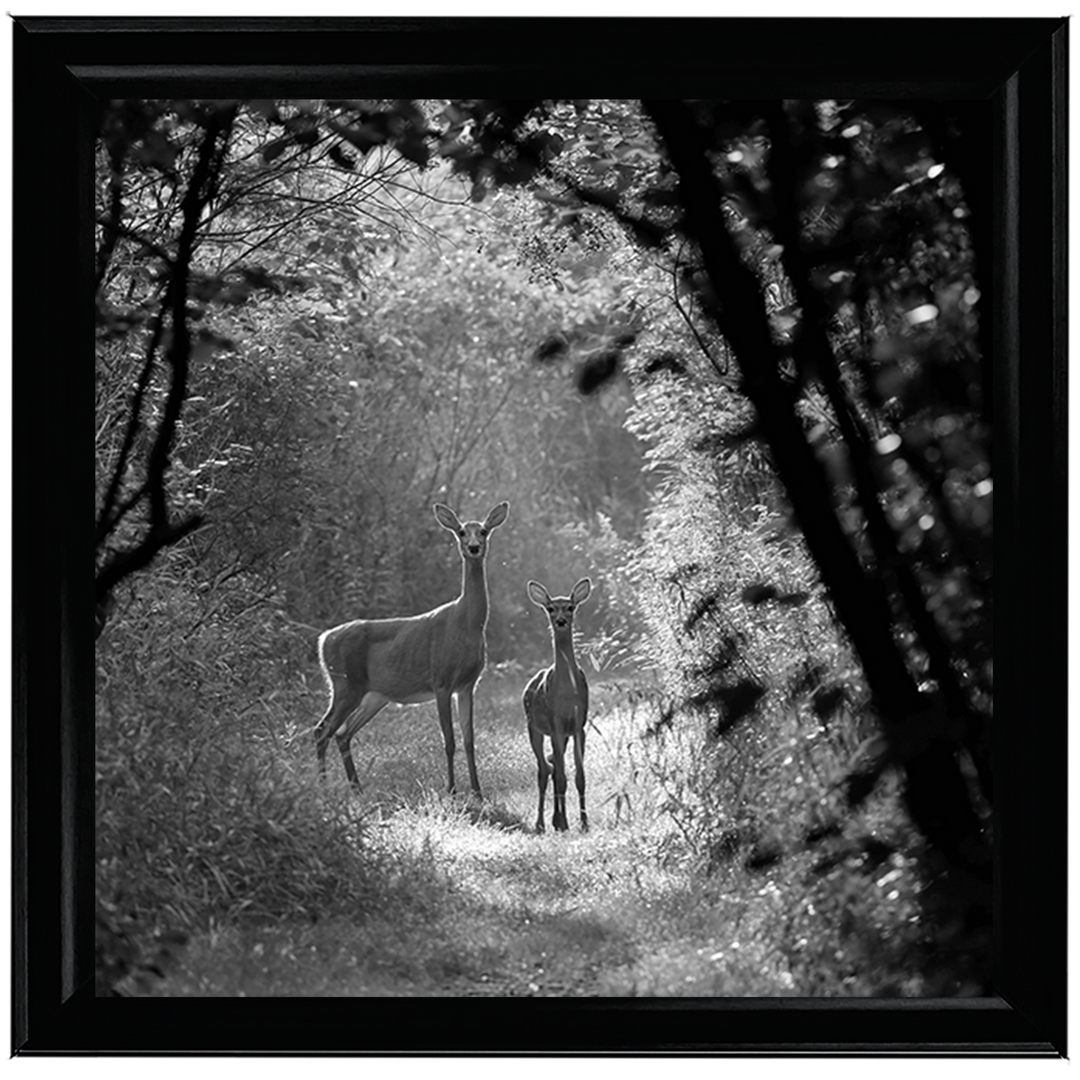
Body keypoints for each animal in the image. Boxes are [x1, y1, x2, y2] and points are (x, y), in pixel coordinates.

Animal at [315, 501, 509, 800]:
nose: (474, 547)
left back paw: (356, 789)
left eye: (484, 531)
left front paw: (477, 792)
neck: (466, 624)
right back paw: (324, 788)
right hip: (345, 684)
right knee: (322, 730)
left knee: (342, 733)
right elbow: (449, 740)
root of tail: (323, 640)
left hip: (373, 695)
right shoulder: (441, 680)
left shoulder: (468, 684)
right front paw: (451, 789)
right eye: (462, 532)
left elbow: (469, 740)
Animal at [522, 577, 592, 833]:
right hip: (533, 728)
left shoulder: (578, 725)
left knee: (552, 768)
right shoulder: (555, 725)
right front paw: (564, 823)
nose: (561, 620)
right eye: (551, 608)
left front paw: (584, 823)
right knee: (544, 770)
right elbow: (561, 776)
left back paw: (555, 819)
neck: (567, 692)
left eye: (570, 607)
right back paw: (542, 823)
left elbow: (579, 777)